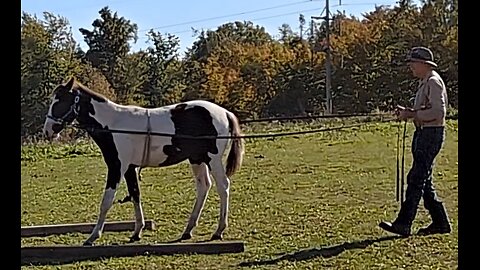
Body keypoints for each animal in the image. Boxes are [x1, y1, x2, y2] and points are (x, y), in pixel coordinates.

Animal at [41, 77, 244, 246]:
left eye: (60, 101)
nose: (48, 130)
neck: (113, 125)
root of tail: (225, 112)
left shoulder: (117, 167)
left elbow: (106, 201)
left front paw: (93, 236)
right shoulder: (130, 168)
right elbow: (135, 195)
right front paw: (137, 232)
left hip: (213, 158)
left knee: (223, 186)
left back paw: (218, 231)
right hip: (197, 159)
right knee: (204, 186)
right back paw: (188, 230)